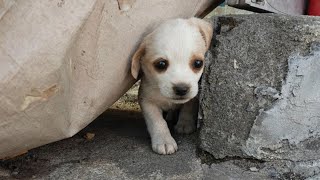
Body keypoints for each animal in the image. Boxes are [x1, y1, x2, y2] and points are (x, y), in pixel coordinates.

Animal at [131, 17, 214, 155]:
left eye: (198, 63)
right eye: (161, 64)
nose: (181, 89)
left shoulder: (193, 96)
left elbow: (188, 107)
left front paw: (185, 124)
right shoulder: (147, 101)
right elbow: (157, 121)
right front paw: (164, 140)